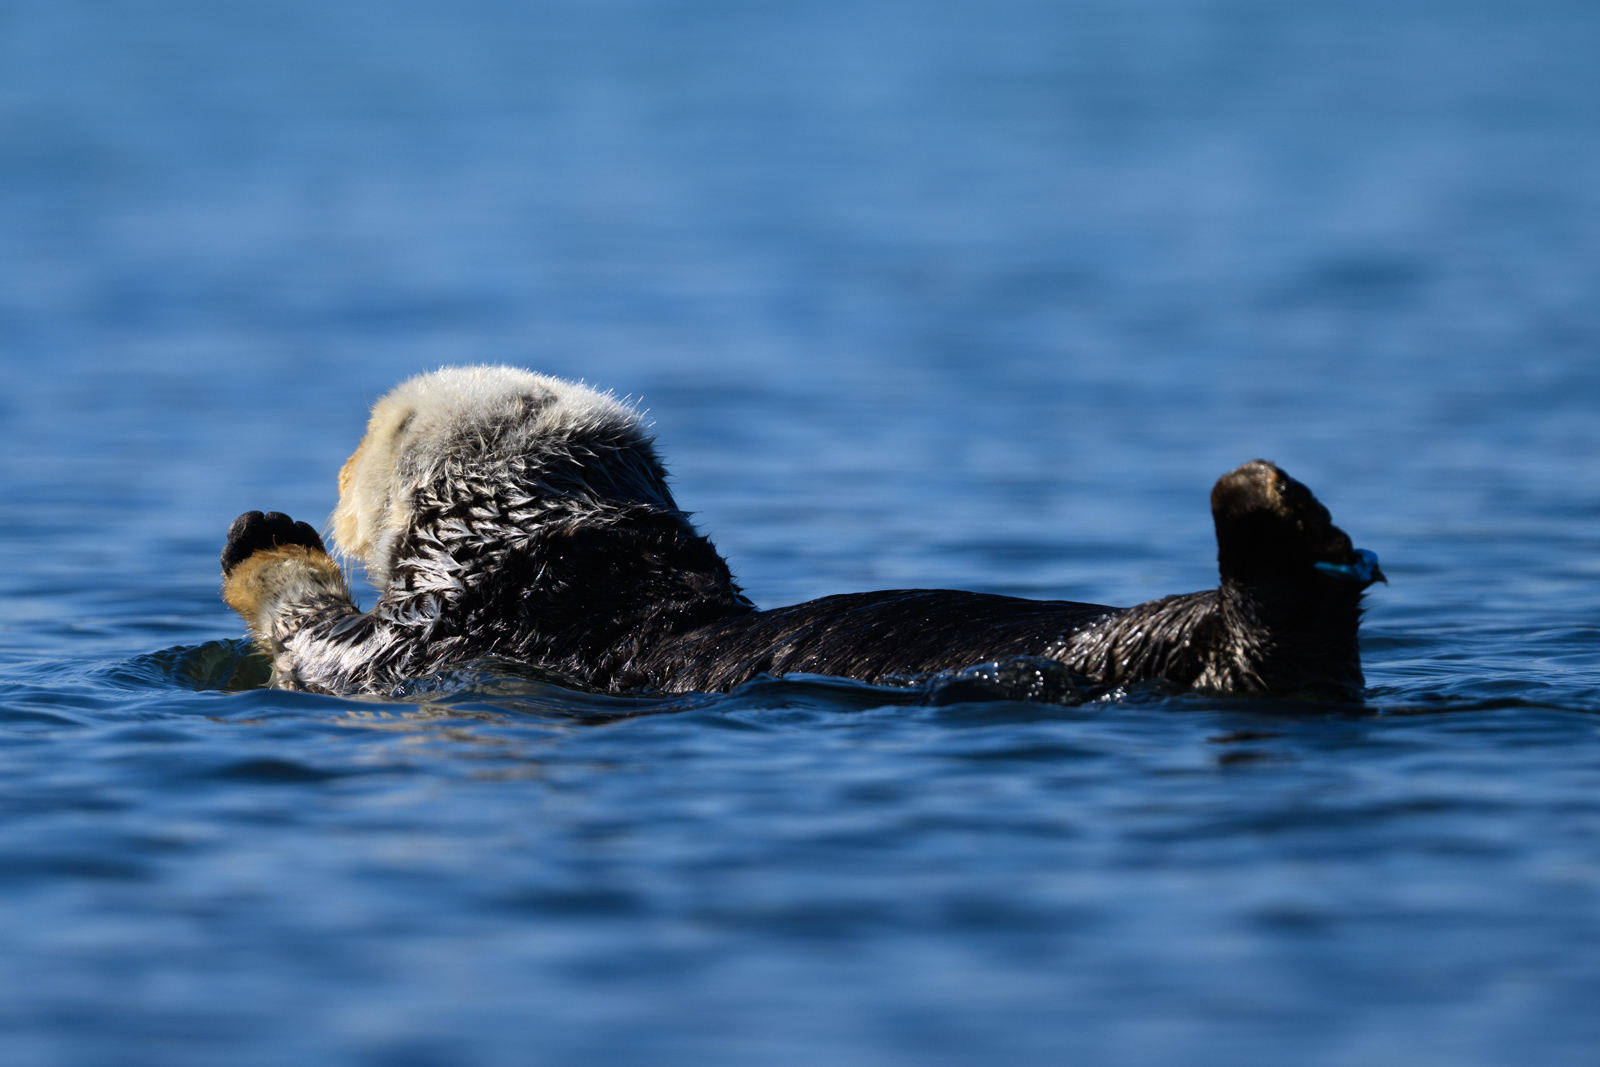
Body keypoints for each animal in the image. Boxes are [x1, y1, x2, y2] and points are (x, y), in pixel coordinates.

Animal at [221, 366, 1384, 701]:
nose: (334, 483)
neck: (560, 534)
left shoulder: (432, 634)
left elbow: (318, 648)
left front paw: (264, 537)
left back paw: (1262, 510)